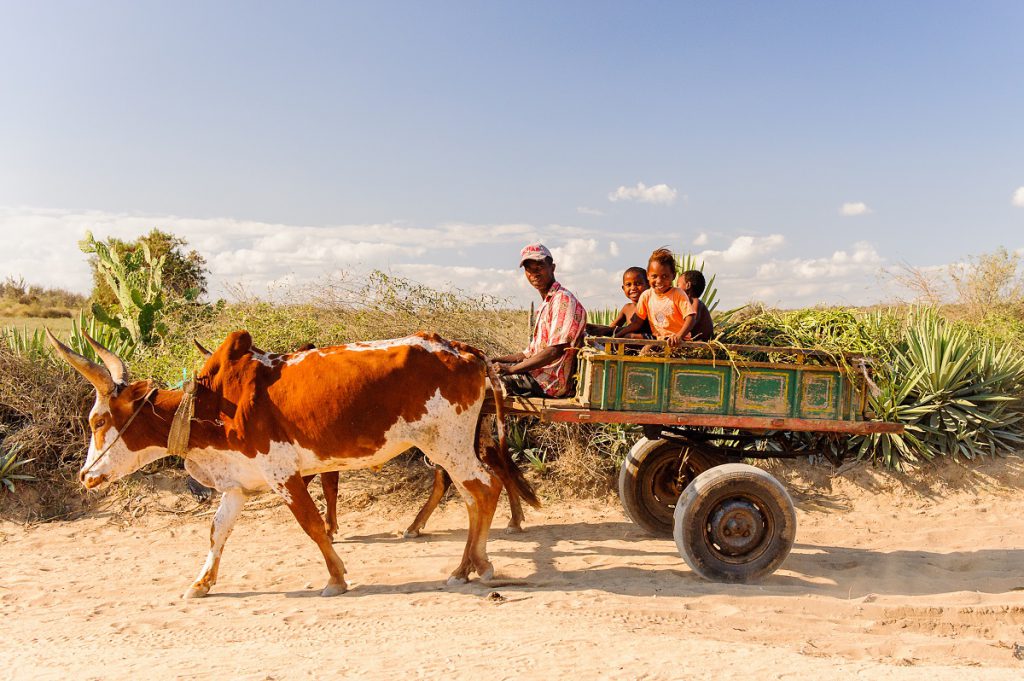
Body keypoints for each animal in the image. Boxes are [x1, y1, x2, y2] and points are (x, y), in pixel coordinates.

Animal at [49, 327, 536, 593]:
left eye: (97, 420)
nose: (85, 476)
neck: (213, 402)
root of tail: (467, 351)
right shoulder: (237, 484)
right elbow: (217, 531)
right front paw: (201, 583)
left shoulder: (283, 474)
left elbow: (314, 526)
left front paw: (336, 579)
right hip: (453, 447)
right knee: (476, 494)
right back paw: (469, 565)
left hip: (447, 445)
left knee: (484, 488)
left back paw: (473, 566)